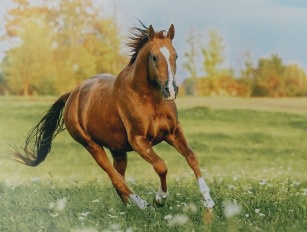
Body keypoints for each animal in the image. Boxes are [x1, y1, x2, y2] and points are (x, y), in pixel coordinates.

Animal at [13, 21, 215, 210]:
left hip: (117, 150)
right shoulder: (139, 140)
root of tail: (71, 95)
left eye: (175, 55)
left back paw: (128, 208)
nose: (171, 90)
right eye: (154, 57)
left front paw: (209, 201)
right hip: (92, 146)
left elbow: (191, 157)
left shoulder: (173, 132)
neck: (151, 100)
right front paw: (159, 199)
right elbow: (161, 165)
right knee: (115, 178)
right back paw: (144, 206)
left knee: (118, 177)